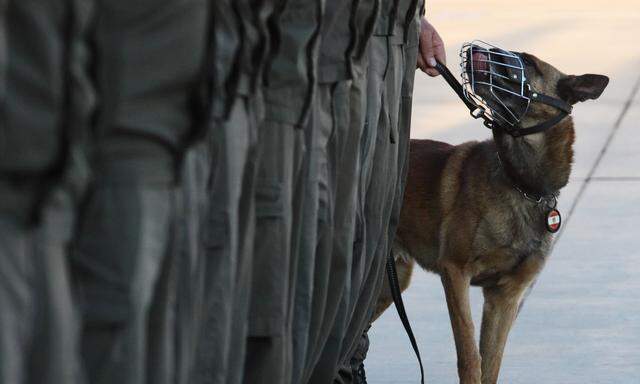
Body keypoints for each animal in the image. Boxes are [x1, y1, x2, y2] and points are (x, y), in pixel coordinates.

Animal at [372, 47, 608, 384]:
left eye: (529, 62)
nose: (473, 51)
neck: (522, 184)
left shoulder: (504, 295)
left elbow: (492, 362)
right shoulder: (455, 273)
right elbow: (471, 356)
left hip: (391, 283)